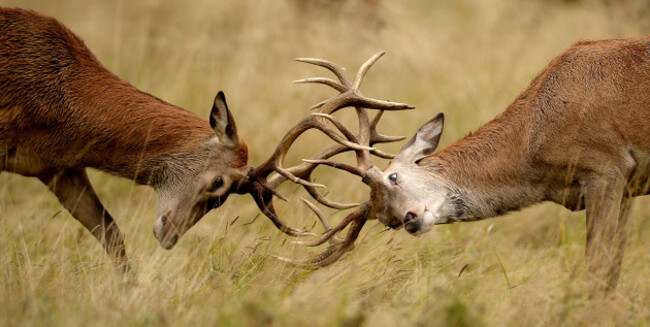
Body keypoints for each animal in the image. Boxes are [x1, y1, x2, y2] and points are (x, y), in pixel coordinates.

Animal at [278, 36, 648, 294]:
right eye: (388, 222)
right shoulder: (626, 185)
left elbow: (597, 269)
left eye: (393, 177)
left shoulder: (605, 166)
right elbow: (612, 269)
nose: (410, 220)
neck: (533, 138)